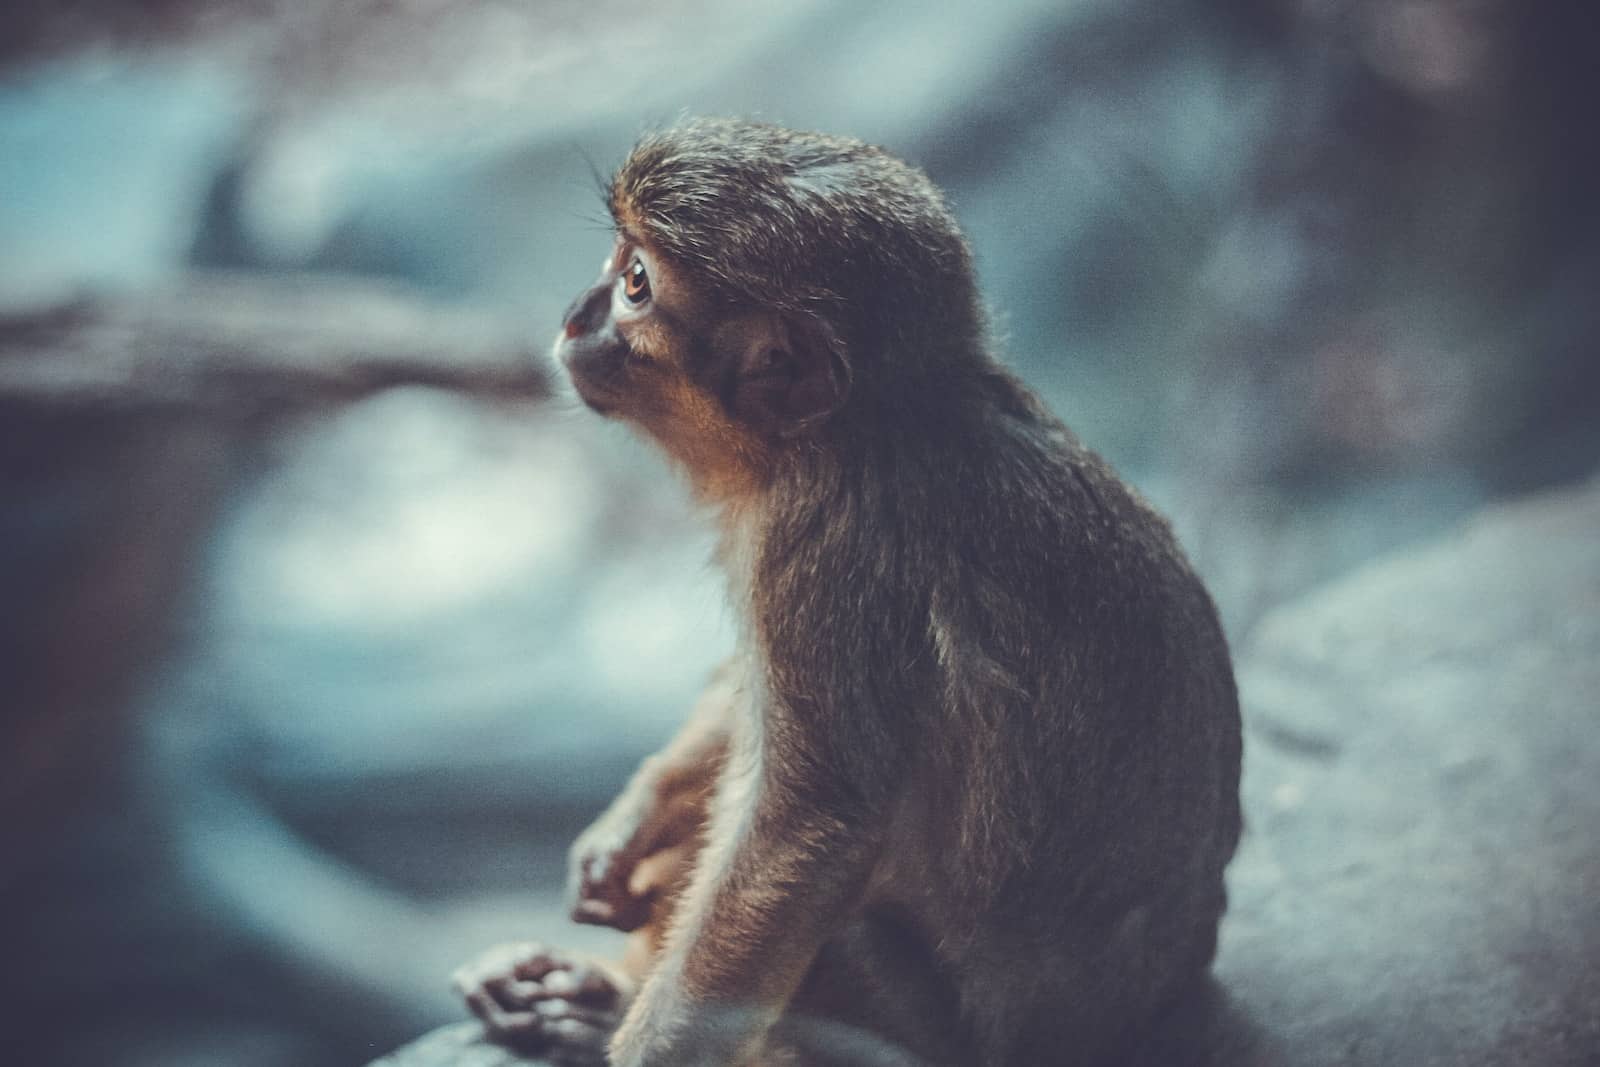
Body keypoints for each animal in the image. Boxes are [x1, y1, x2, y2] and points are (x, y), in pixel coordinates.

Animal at [452, 118, 1242, 1067]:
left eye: (636, 283)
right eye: (617, 263)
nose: (577, 313)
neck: (859, 430)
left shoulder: (824, 542)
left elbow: (809, 829)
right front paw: (627, 822)